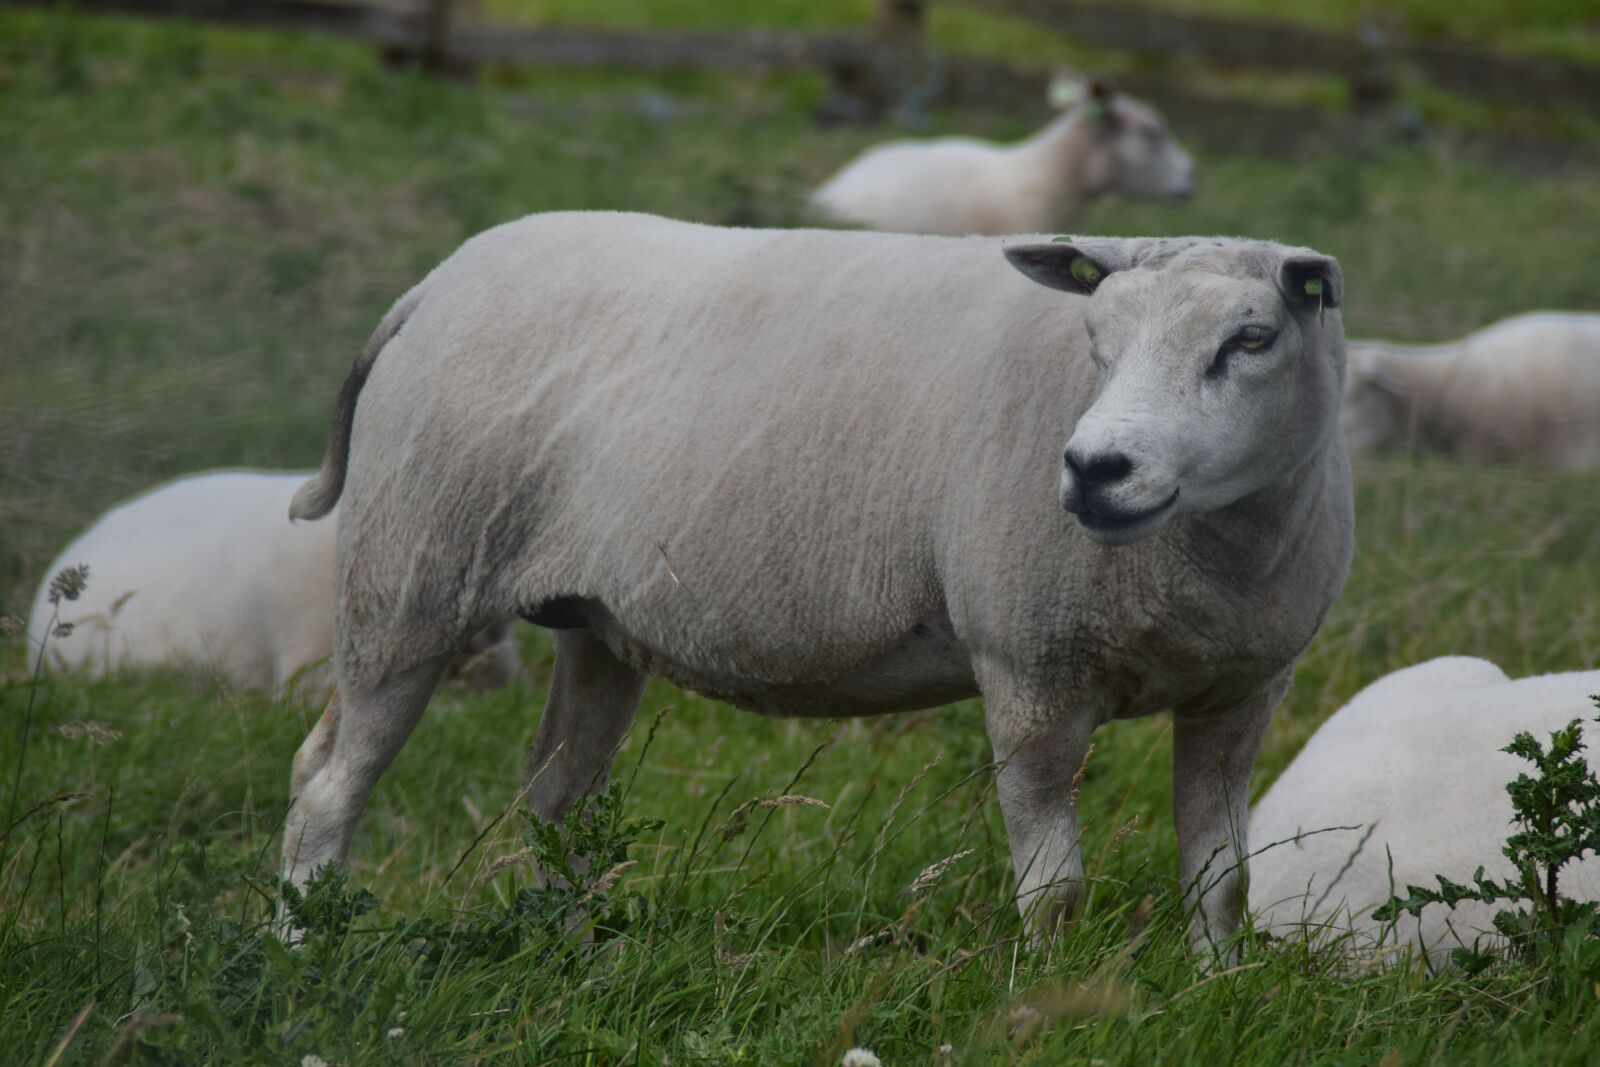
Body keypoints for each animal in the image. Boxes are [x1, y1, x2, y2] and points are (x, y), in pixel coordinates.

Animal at [280, 211, 1352, 955]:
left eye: (1253, 339)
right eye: (1095, 339)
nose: (1096, 470)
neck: (1209, 560)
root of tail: (436, 283)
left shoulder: (1242, 690)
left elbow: (1221, 882)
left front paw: (1216, 984)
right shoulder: (1031, 669)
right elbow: (1055, 895)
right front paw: (1050, 996)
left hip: (592, 619)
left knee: (556, 800)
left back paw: (564, 952)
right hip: (409, 570)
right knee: (328, 783)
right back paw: (302, 946)